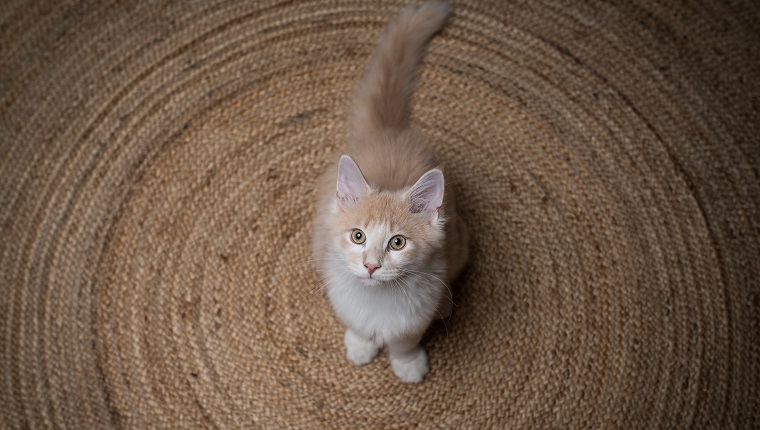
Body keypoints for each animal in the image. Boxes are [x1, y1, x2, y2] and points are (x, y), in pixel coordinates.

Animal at [310, 0, 466, 382]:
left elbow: (405, 341)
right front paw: (361, 346)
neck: (378, 299)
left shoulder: (415, 315)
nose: (370, 265)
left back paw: (445, 305)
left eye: (397, 242)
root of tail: (388, 130)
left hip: (459, 241)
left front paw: (408, 364)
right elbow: (359, 327)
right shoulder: (342, 294)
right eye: (358, 236)